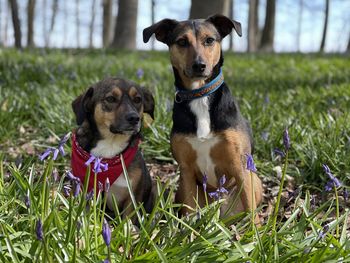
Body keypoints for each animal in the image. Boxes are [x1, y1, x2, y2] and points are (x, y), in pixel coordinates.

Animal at [143, 14, 262, 223]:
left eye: (210, 40)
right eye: (182, 42)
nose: (199, 65)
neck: (199, 95)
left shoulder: (240, 167)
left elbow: (251, 211)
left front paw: (257, 232)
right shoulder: (187, 171)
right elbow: (189, 213)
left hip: (254, 178)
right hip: (182, 188)